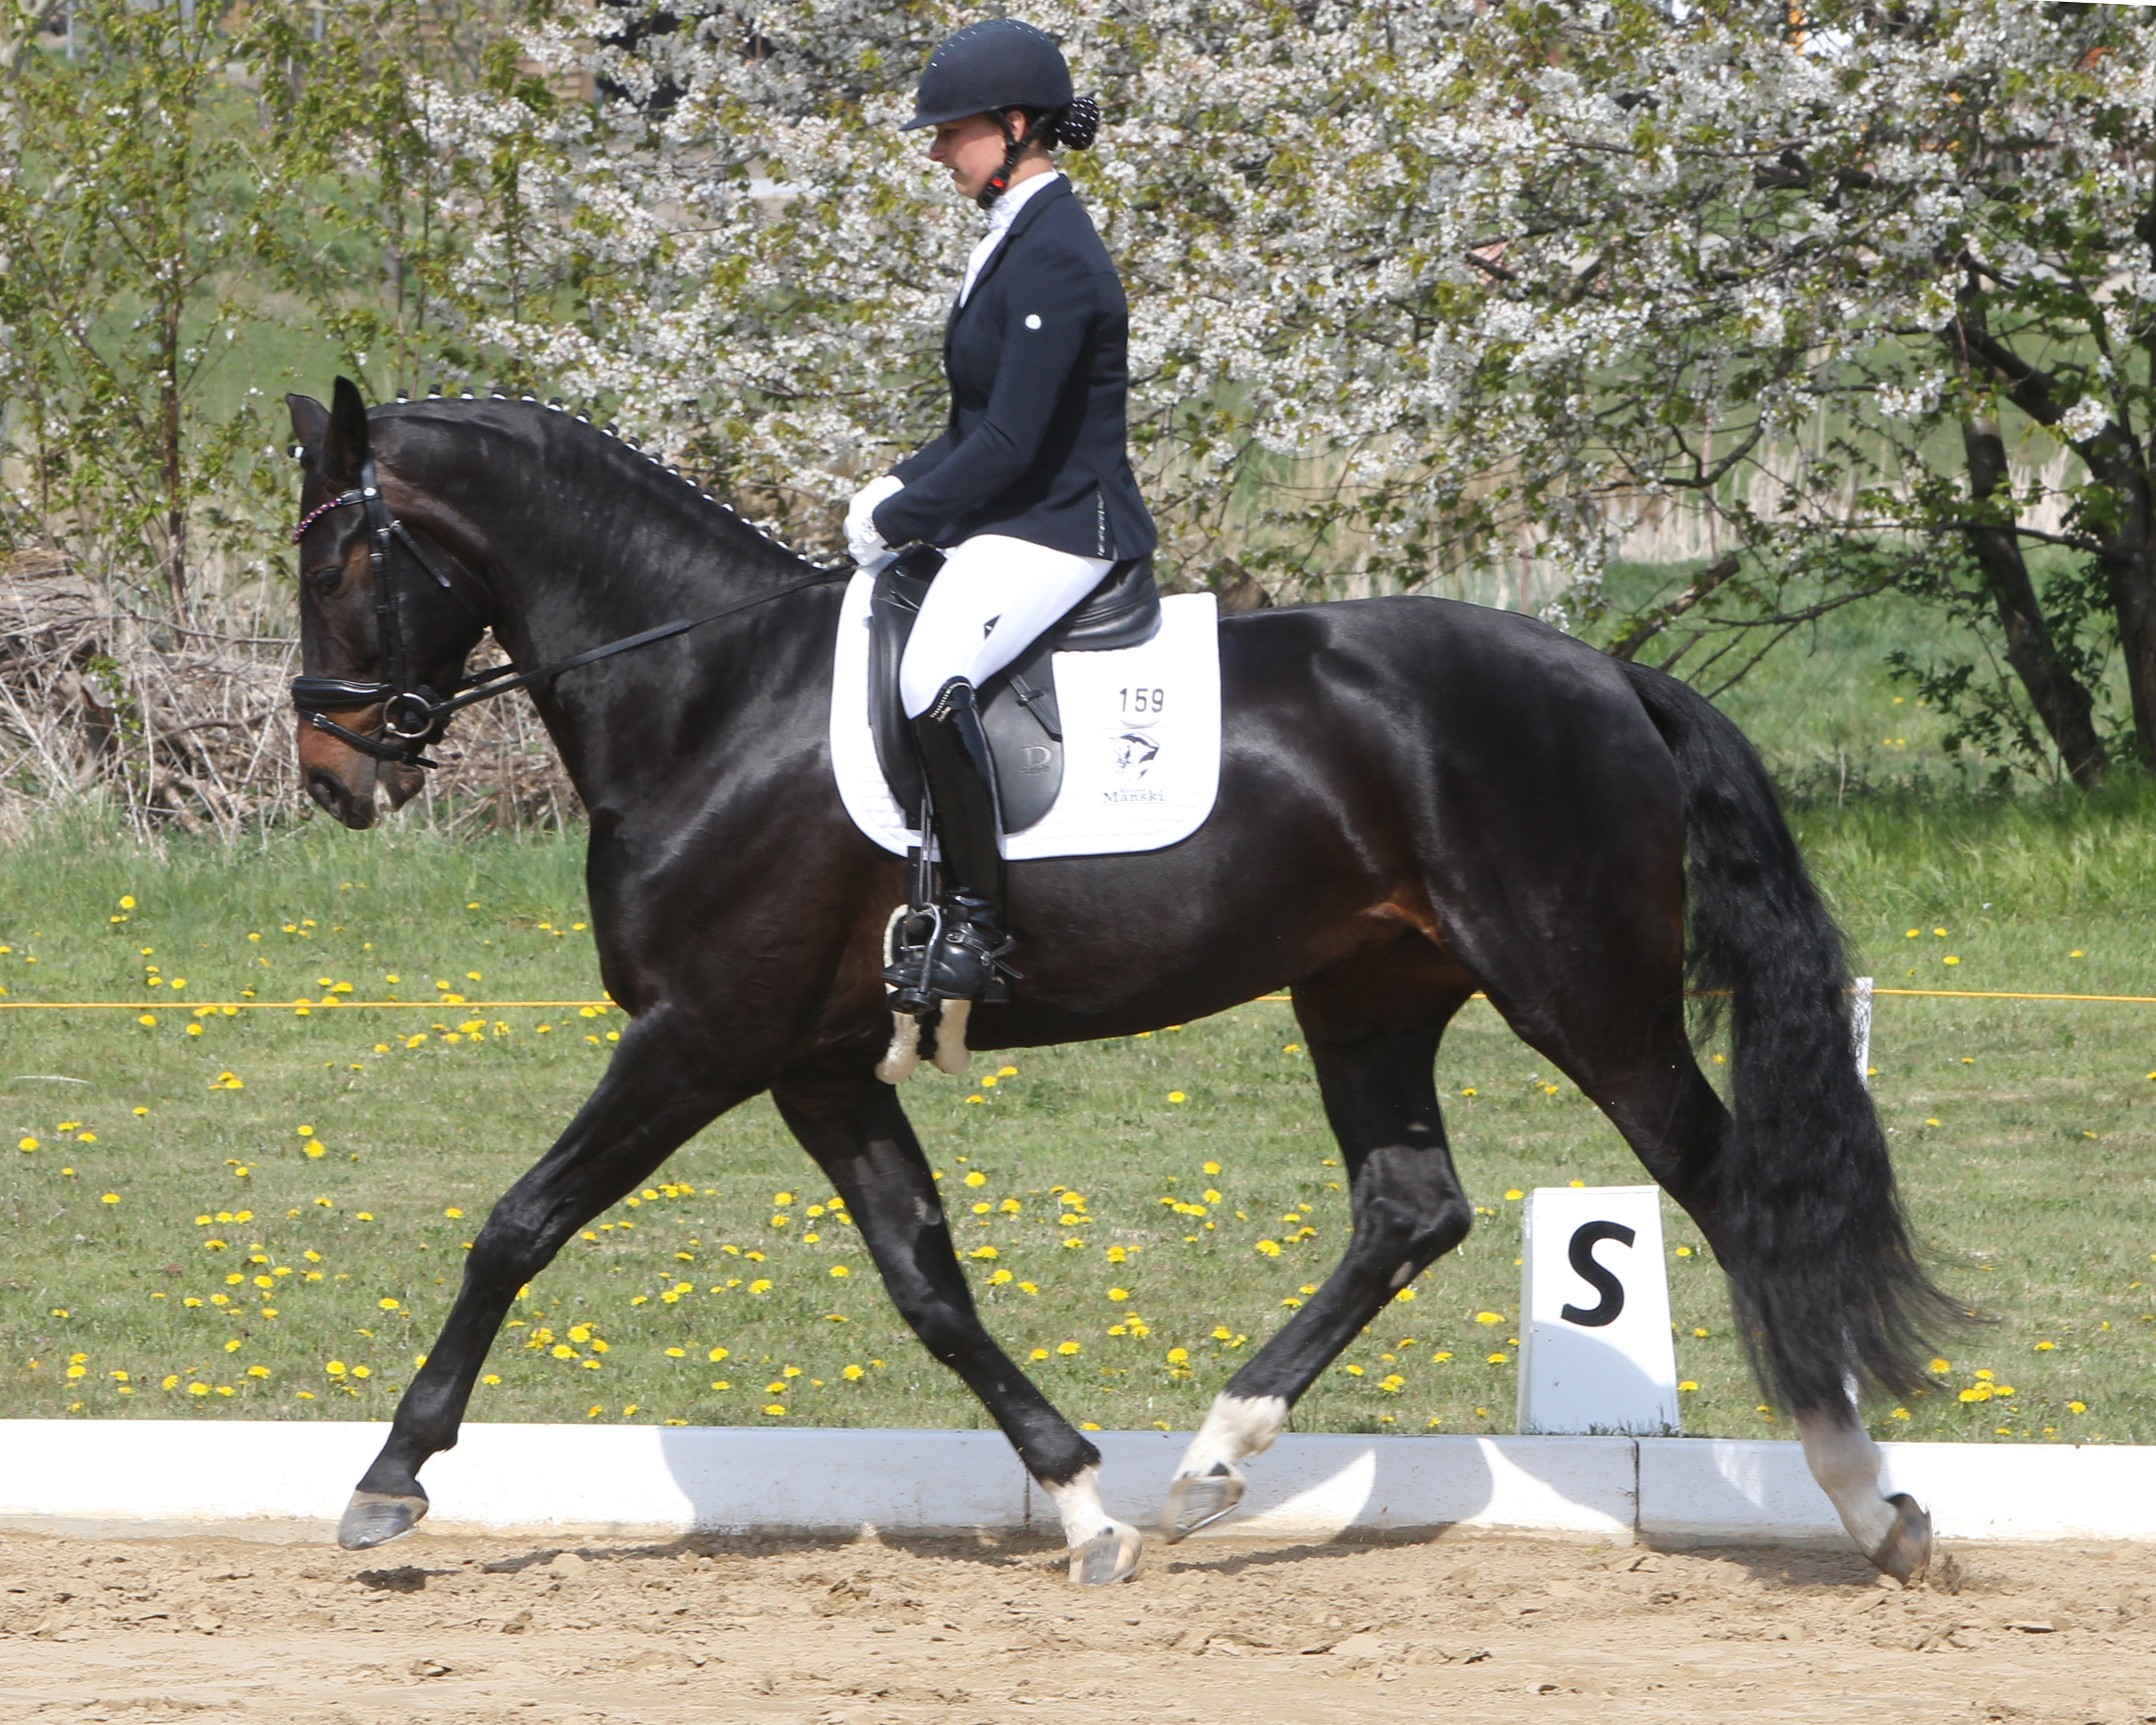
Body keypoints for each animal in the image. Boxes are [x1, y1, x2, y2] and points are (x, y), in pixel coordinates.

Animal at [282, 382, 1957, 1586]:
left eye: (341, 556)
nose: (329, 772)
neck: (707, 700)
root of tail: (1610, 676)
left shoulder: (701, 1036)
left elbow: (518, 1224)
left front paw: (388, 1481)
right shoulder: (814, 1062)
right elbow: (927, 1281)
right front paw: (1085, 1504)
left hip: (1584, 995)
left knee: (1727, 1190)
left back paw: (1870, 1501)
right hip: (1369, 993)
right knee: (1411, 1210)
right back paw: (1212, 1466)